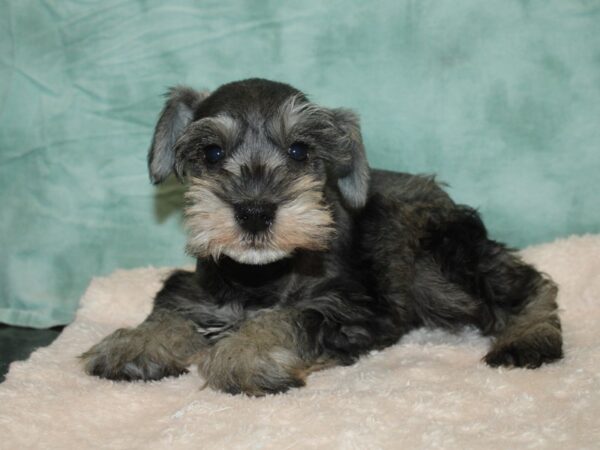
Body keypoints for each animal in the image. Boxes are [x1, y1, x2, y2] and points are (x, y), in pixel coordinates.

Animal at [81, 79, 564, 396]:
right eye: (212, 152)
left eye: (299, 150)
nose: (255, 211)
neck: (259, 277)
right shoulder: (193, 289)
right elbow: (169, 309)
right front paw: (136, 342)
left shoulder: (346, 309)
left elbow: (286, 318)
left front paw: (245, 354)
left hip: (439, 266)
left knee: (529, 285)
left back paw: (529, 338)